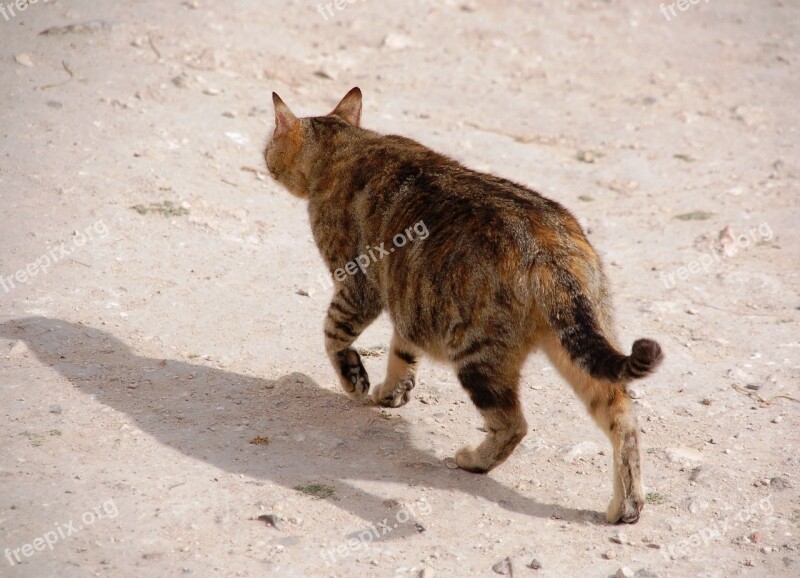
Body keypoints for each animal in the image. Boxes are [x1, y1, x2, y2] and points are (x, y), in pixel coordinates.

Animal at [262, 85, 664, 520]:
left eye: (269, 141)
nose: (263, 155)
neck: (348, 145)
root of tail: (549, 249)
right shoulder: (411, 302)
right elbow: (402, 352)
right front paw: (392, 392)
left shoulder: (357, 285)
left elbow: (334, 336)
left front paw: (356, 380)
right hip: (579, 347)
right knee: (623, 417)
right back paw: (626, 506)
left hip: (477, 355)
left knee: (513, 424)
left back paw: (473, 460)